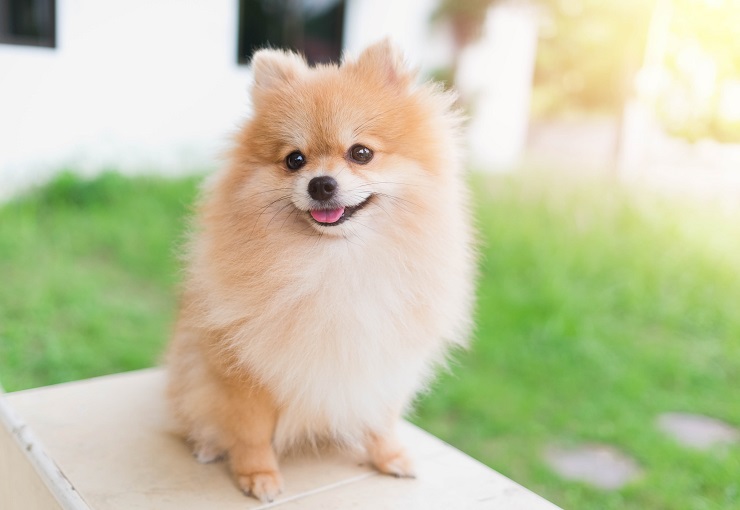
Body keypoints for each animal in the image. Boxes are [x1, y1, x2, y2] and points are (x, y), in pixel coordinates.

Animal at [165, 40, 476, 502]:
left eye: (361, 153)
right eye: (294, 160)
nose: (321, 184)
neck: (336, 261)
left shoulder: (383, 357)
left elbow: (382, 417)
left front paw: (389, 456)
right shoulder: (244, 370)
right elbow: (251, 431)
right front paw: (258, 474)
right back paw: (207, 446)